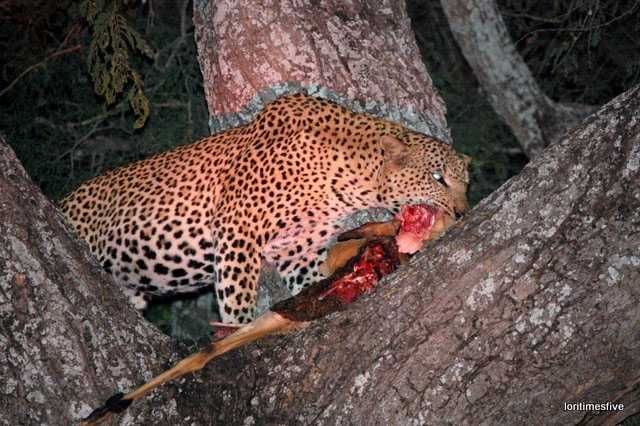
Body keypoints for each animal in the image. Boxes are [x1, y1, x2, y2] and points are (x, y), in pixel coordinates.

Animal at [60, 93, 471, 324]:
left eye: (465, 181)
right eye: (437, 177)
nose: (464, 211)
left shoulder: (297, 247)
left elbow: (310, 280)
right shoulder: (237, 230)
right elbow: (236, 296)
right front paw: (237, 329)